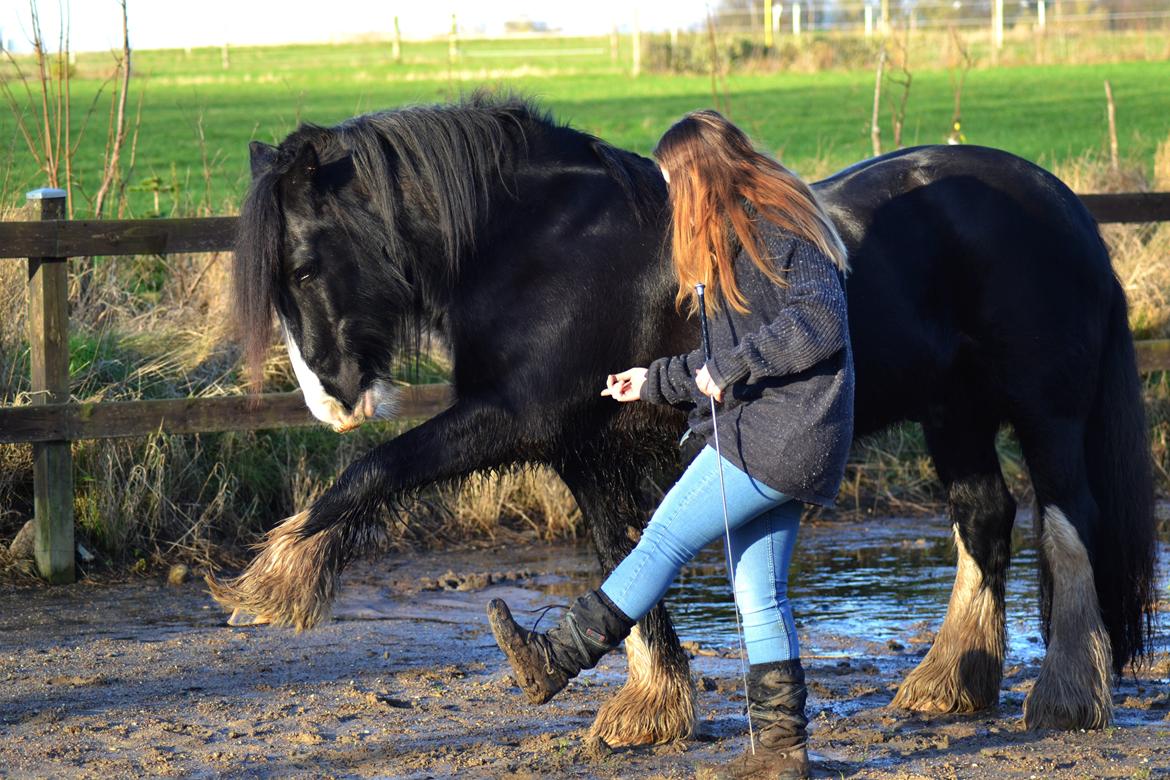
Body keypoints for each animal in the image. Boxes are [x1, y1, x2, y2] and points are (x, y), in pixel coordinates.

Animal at [208, 94, 1151, 743]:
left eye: (302, 264)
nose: (332, 403)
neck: (540, 245)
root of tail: (1060, 201)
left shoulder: (512, 416)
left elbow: (375, 469)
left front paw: (274, 580)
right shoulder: (580, 449)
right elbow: (621, 555)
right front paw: (650, 708)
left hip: (1046, 411)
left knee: (1067, 521)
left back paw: (1065, 695)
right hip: (951, 411)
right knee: (984, 517)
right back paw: (950, 683)